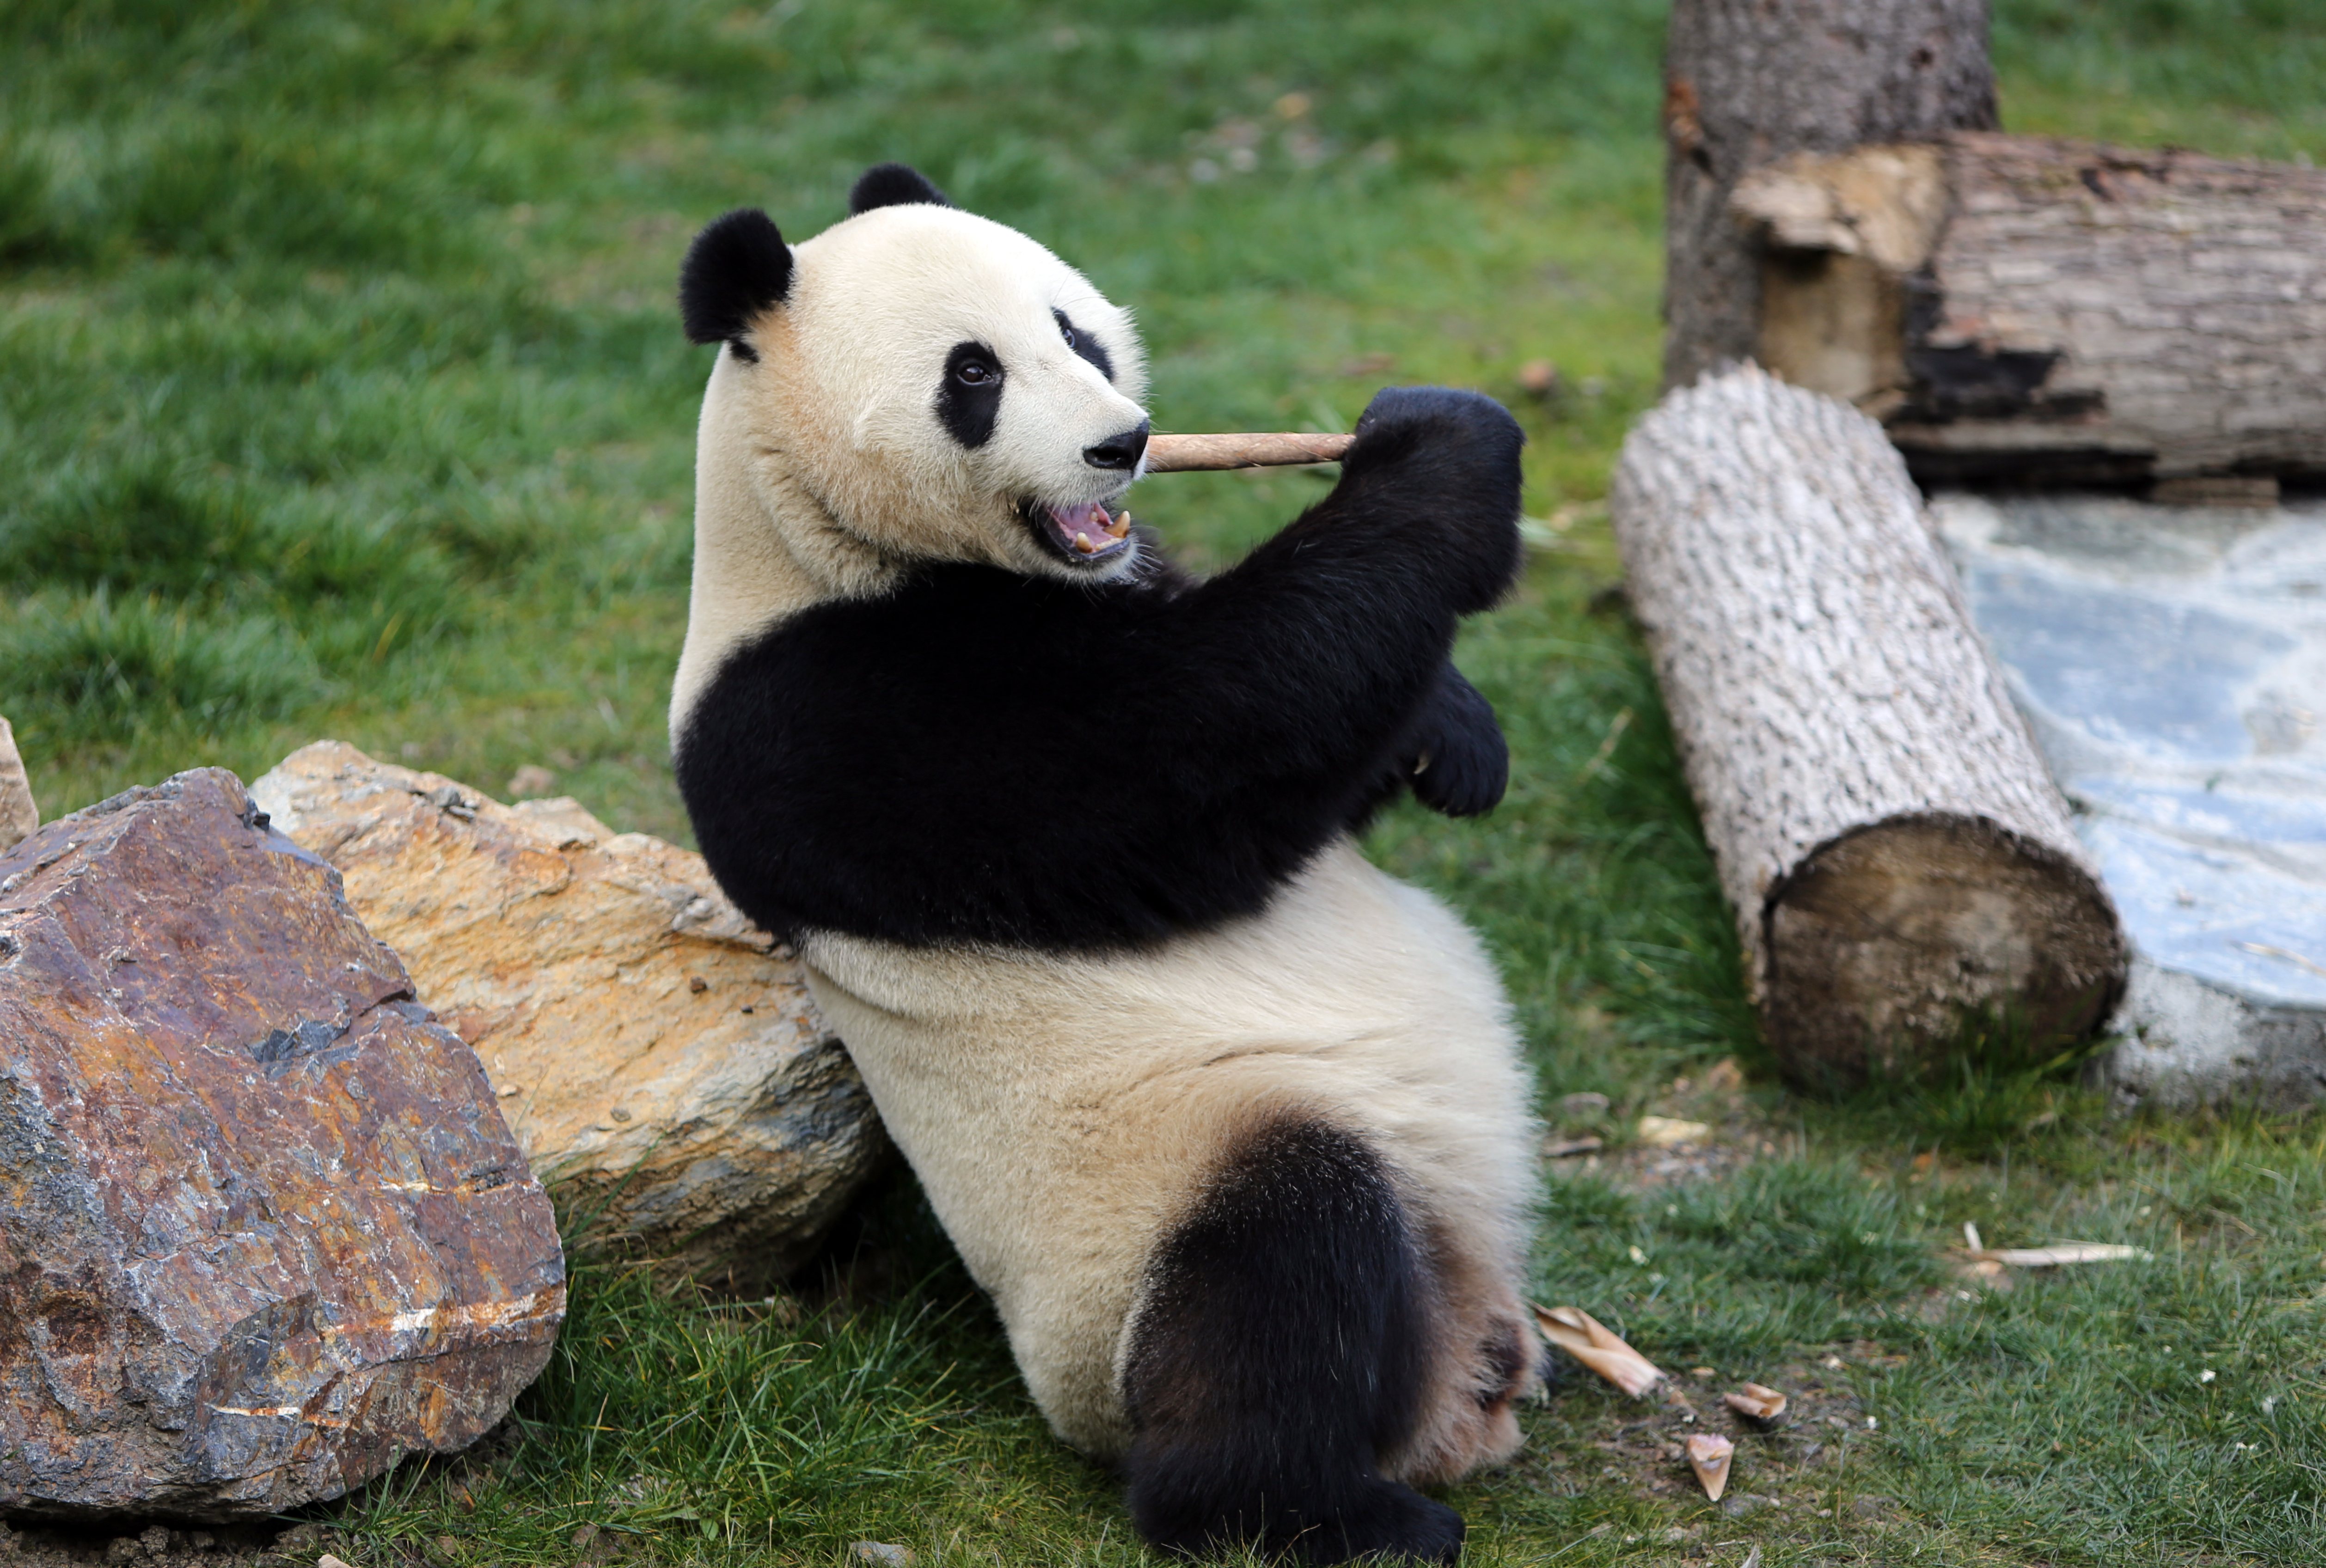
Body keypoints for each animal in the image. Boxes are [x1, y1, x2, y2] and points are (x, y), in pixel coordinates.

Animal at [670, 165, 1544, 1554]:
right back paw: (1328, 1510)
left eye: (1075, 331)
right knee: (1283, 1268)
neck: (796, 522)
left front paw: (1456, 742)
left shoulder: (1116, 575)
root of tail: (1452, 1379)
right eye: (972, 375)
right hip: (1152, 1210)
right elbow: (1191, 750)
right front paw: (1441, 448)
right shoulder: (827, 714)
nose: (1121, 444)